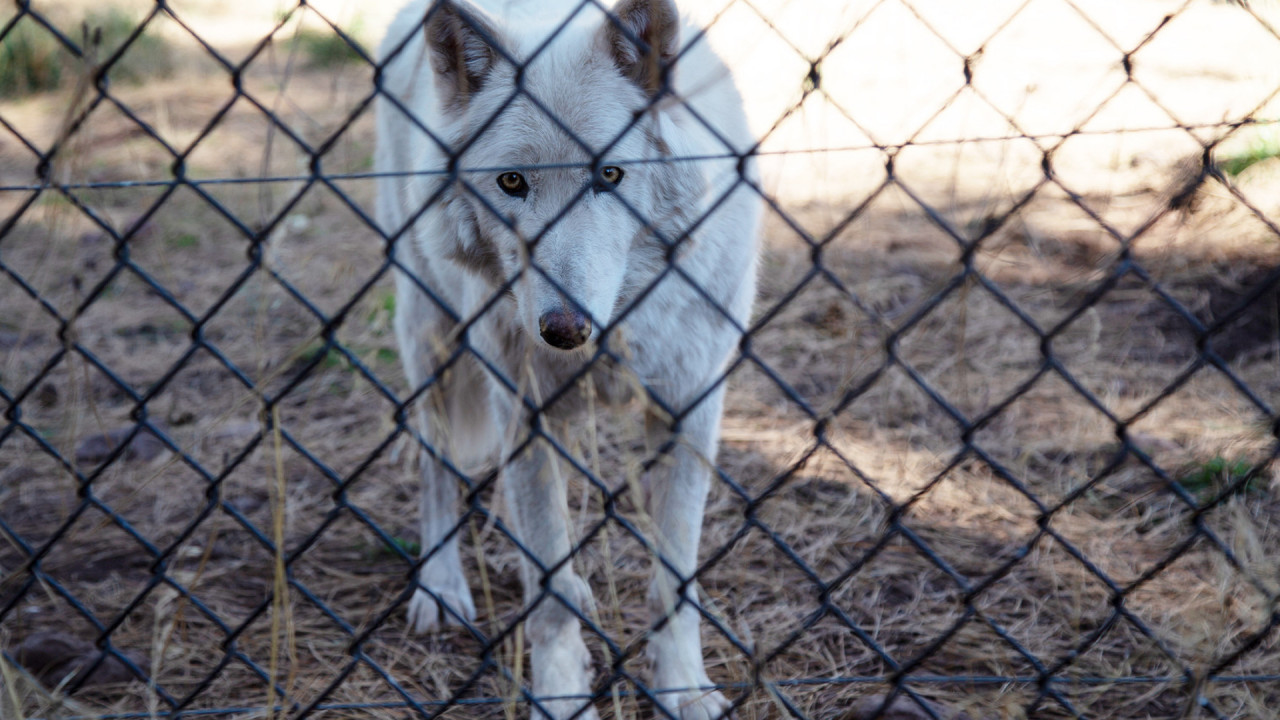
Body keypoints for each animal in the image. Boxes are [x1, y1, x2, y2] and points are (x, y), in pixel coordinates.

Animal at [376, 1, 757, 712]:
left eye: (609, 175)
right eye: (512, 182)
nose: (563, 329)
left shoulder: (689, 410)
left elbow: (674, 580)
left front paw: (683, 689)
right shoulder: (521, 407)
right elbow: (548, 595)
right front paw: (559, 696)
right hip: (429, 335)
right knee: (439, 471)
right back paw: (441, 587)